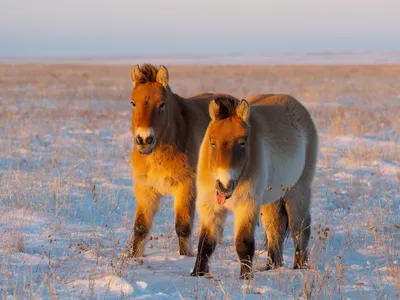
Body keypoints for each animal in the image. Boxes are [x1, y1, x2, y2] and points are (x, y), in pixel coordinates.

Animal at [128, 63, 216, 258]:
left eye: (162, 103)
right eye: (133, 103)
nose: (144, 139)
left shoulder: (186, 188)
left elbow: (183, 228)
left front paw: (184, 257)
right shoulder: (145, 190)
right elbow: (140, 228)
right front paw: (133, 258)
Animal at [191, 95, 318, 280]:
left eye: (243, 142)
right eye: (212, 142)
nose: (224, 185)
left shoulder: (247, 205)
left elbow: (243, 243)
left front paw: (245, 278)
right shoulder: (210, 207)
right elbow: (205, 243)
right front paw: (197, 274)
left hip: (298, 191)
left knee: (300, 227)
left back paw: (300, 267)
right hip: (271, 199)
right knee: (275, 228)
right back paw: (272, 267)